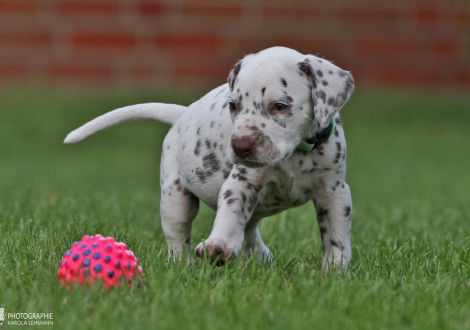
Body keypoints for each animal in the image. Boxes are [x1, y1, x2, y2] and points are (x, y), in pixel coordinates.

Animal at [65, 47, 352, 274]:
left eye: (280, 106)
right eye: (233, 106)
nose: (240, 146)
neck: (296, 153)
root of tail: (183, 114)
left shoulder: (334, 192)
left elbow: (336, 235)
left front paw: (335, 273)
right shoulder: (241, 183)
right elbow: (231, 214)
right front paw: (219, 245)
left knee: (250, 231)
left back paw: (260, 259)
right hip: (176, 199)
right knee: (178, 236)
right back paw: (183, 264)